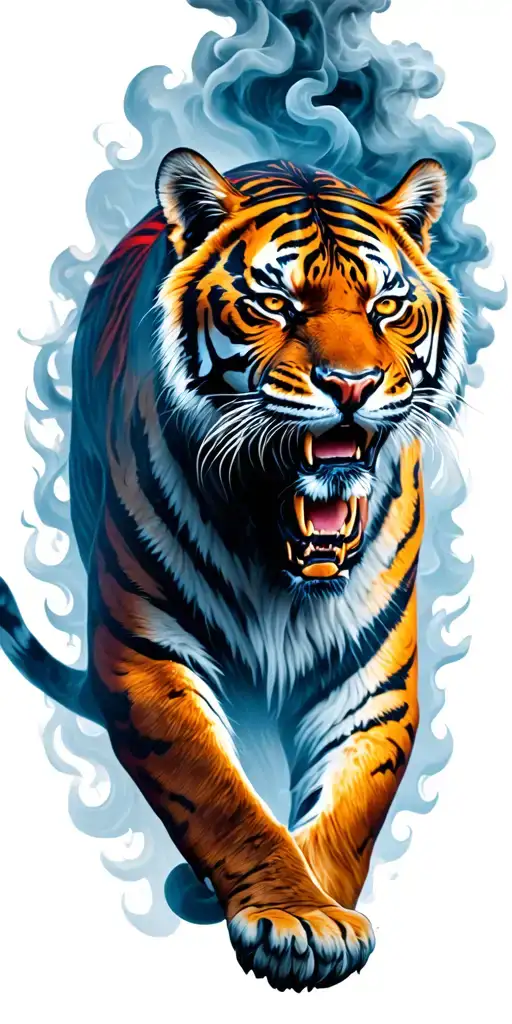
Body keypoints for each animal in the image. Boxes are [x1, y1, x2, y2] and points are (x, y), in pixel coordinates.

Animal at [0, 147, 463, 992]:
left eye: (387, 307)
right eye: (273, 304)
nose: (352, 386)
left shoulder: (373, 684)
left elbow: (349, 813)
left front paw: (321, 907)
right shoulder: (149, 659)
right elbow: (224, 799)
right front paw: (295, 915)